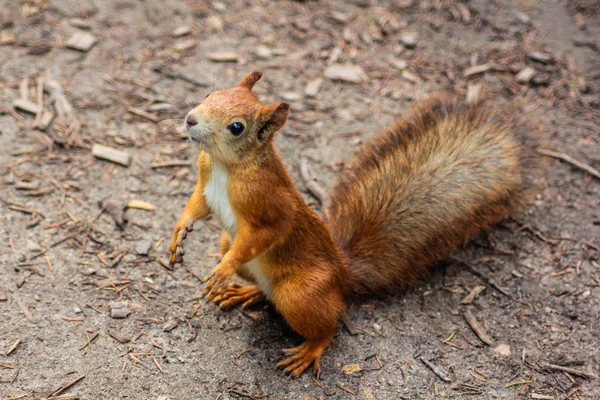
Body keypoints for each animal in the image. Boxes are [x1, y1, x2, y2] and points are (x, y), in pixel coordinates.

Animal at [166, 71, 532, 378]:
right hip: (231, 246)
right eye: (211, 93)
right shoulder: (205, 183)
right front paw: (178, 234)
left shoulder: (269, 205)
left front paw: (222, 271)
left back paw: (310, 349)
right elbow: (196, 207)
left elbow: (264, 234)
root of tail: (343, 275)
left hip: (300, 295)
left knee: (329, 323)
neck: (225, 164)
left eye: (236, 127)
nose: (190, 119)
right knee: (261, 286)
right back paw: (246, 291)